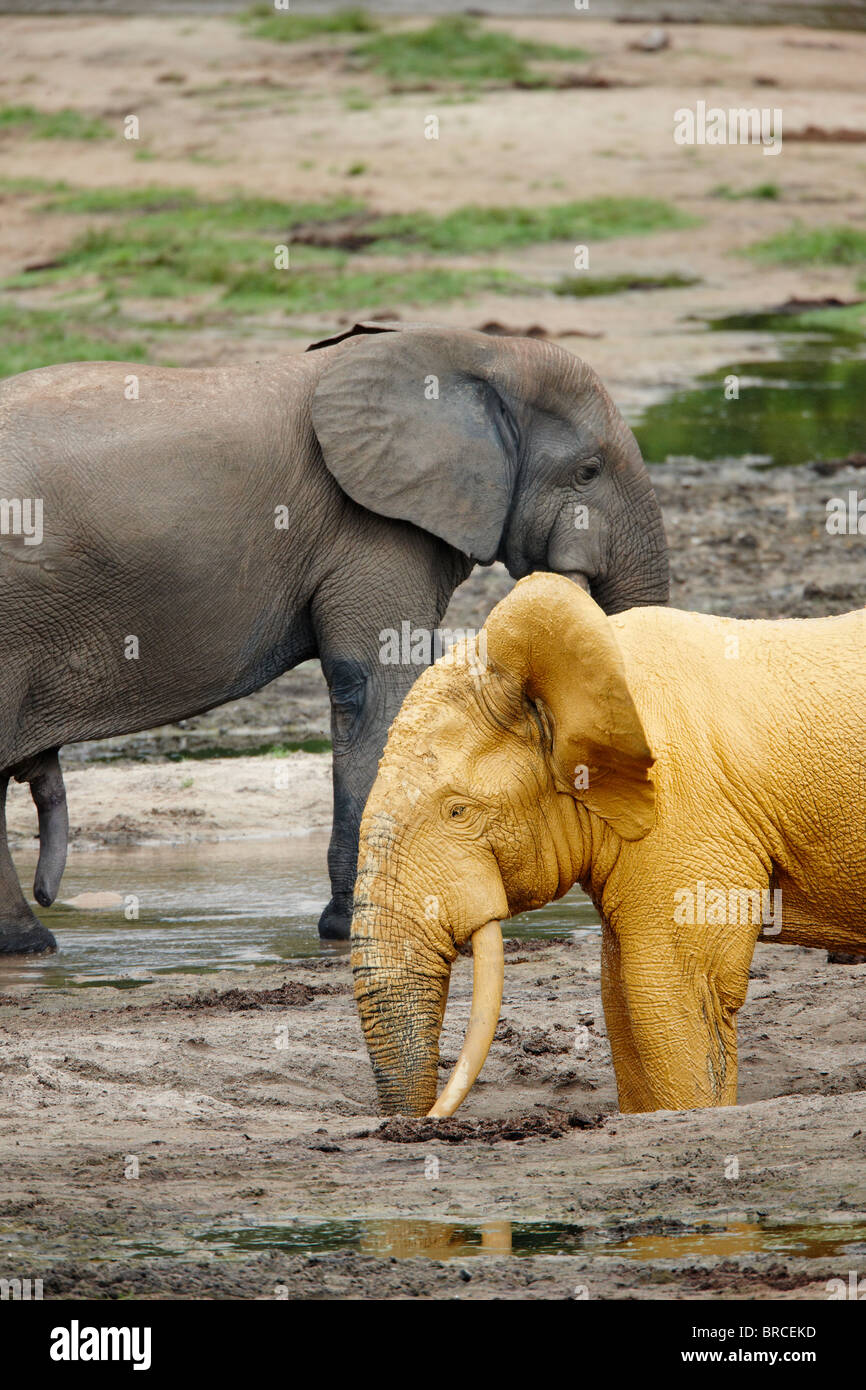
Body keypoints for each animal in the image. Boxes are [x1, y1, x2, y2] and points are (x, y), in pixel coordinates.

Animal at [0, 318, 670, 950]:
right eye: (587, 471)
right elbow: (379, 687)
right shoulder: (372, 530)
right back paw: (33, 943)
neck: (472, 349)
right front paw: (364, 927)